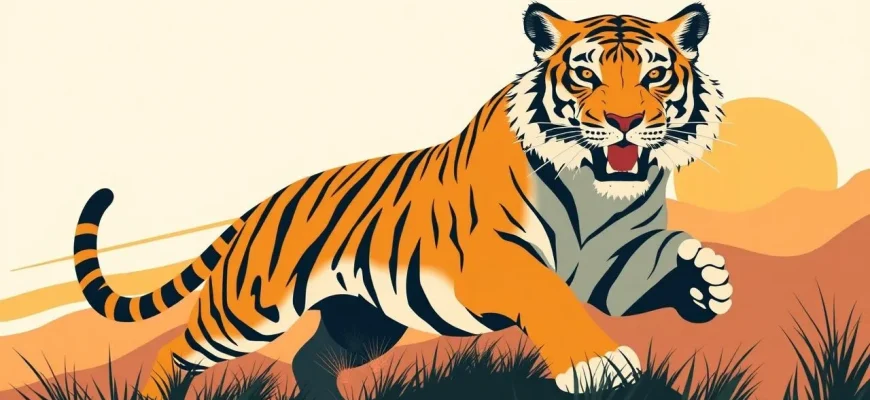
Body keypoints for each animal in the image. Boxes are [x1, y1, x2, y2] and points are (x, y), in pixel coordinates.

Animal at [70, 2, 733, 398]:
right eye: (585, 75)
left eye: (655, 75)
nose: (624, 122)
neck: (596, 189)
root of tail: (262, 204)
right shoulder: (494, 259)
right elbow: (549, 295)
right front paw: (600, 367)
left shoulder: (611, 260)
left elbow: (646, 268)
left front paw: (703, 279)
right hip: (248, 307)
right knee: (179, 348)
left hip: (363, 320)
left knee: (309, 359)